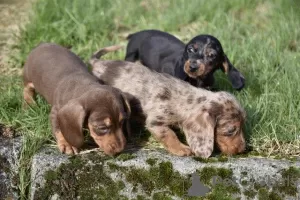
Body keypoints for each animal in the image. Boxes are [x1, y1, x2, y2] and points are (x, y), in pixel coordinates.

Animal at [89, 46, 246, 159]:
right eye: (231, 130)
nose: (243, 150)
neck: (184, 98)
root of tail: (98, 63)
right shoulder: (155, 122)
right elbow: (169, 135)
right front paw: (182, 148)